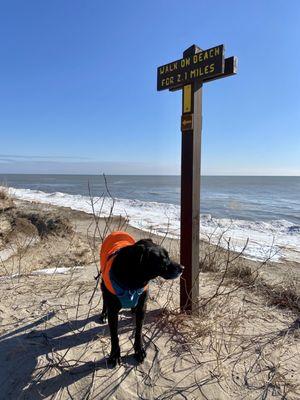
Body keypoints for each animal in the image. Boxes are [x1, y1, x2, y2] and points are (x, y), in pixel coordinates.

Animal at [98, 236, 183, 368]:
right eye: (162, 260)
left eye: (168, 256)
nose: (182, 268)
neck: (133, 281)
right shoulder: (113, 311)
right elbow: (114, 336)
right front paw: (115, 355)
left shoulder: (142, 307)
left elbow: (138, 330)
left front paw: (139, 350)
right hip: (103, 284)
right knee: (104, 300)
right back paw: (103, 314)